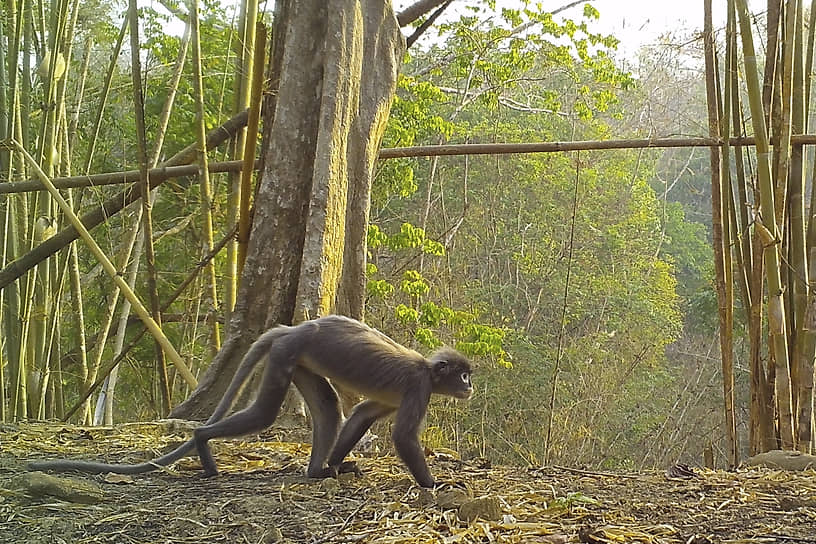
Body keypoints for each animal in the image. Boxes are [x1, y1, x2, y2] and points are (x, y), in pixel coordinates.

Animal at [30, 314, 472, 488]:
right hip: (287, 353)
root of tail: (294, 327)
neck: (429, 370)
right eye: (463, 374)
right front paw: (436, 484)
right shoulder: (419, 387)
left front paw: (337, 465)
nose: (469, 387)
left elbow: (363, 412)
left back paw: (318, 471)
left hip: (296, 359)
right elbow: (402, 437)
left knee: (328, 406)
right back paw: (203, 441)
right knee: (264, 413)